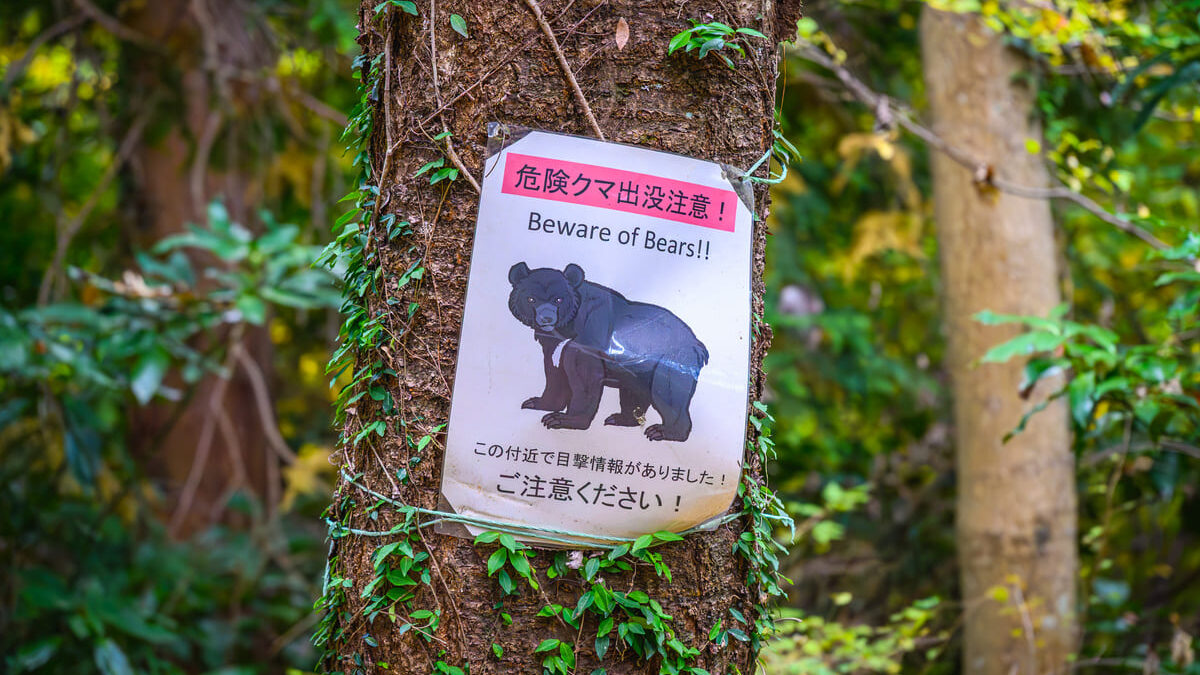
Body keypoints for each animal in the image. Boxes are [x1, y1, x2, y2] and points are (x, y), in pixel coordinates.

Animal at [507, 261, 709, 442]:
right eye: (531, 299)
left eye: (558, 299)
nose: (546, 318)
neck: (568, 326)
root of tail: (698, 344)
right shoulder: (553, 345)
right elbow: (555, 372)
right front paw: (535, 402)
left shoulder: (588, 337)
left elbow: (584, 377)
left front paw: (561, 419)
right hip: (638, 371)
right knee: (633, 393)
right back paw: (620, 418)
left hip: (672, 360)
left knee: (669, 393)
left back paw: (662, 431)